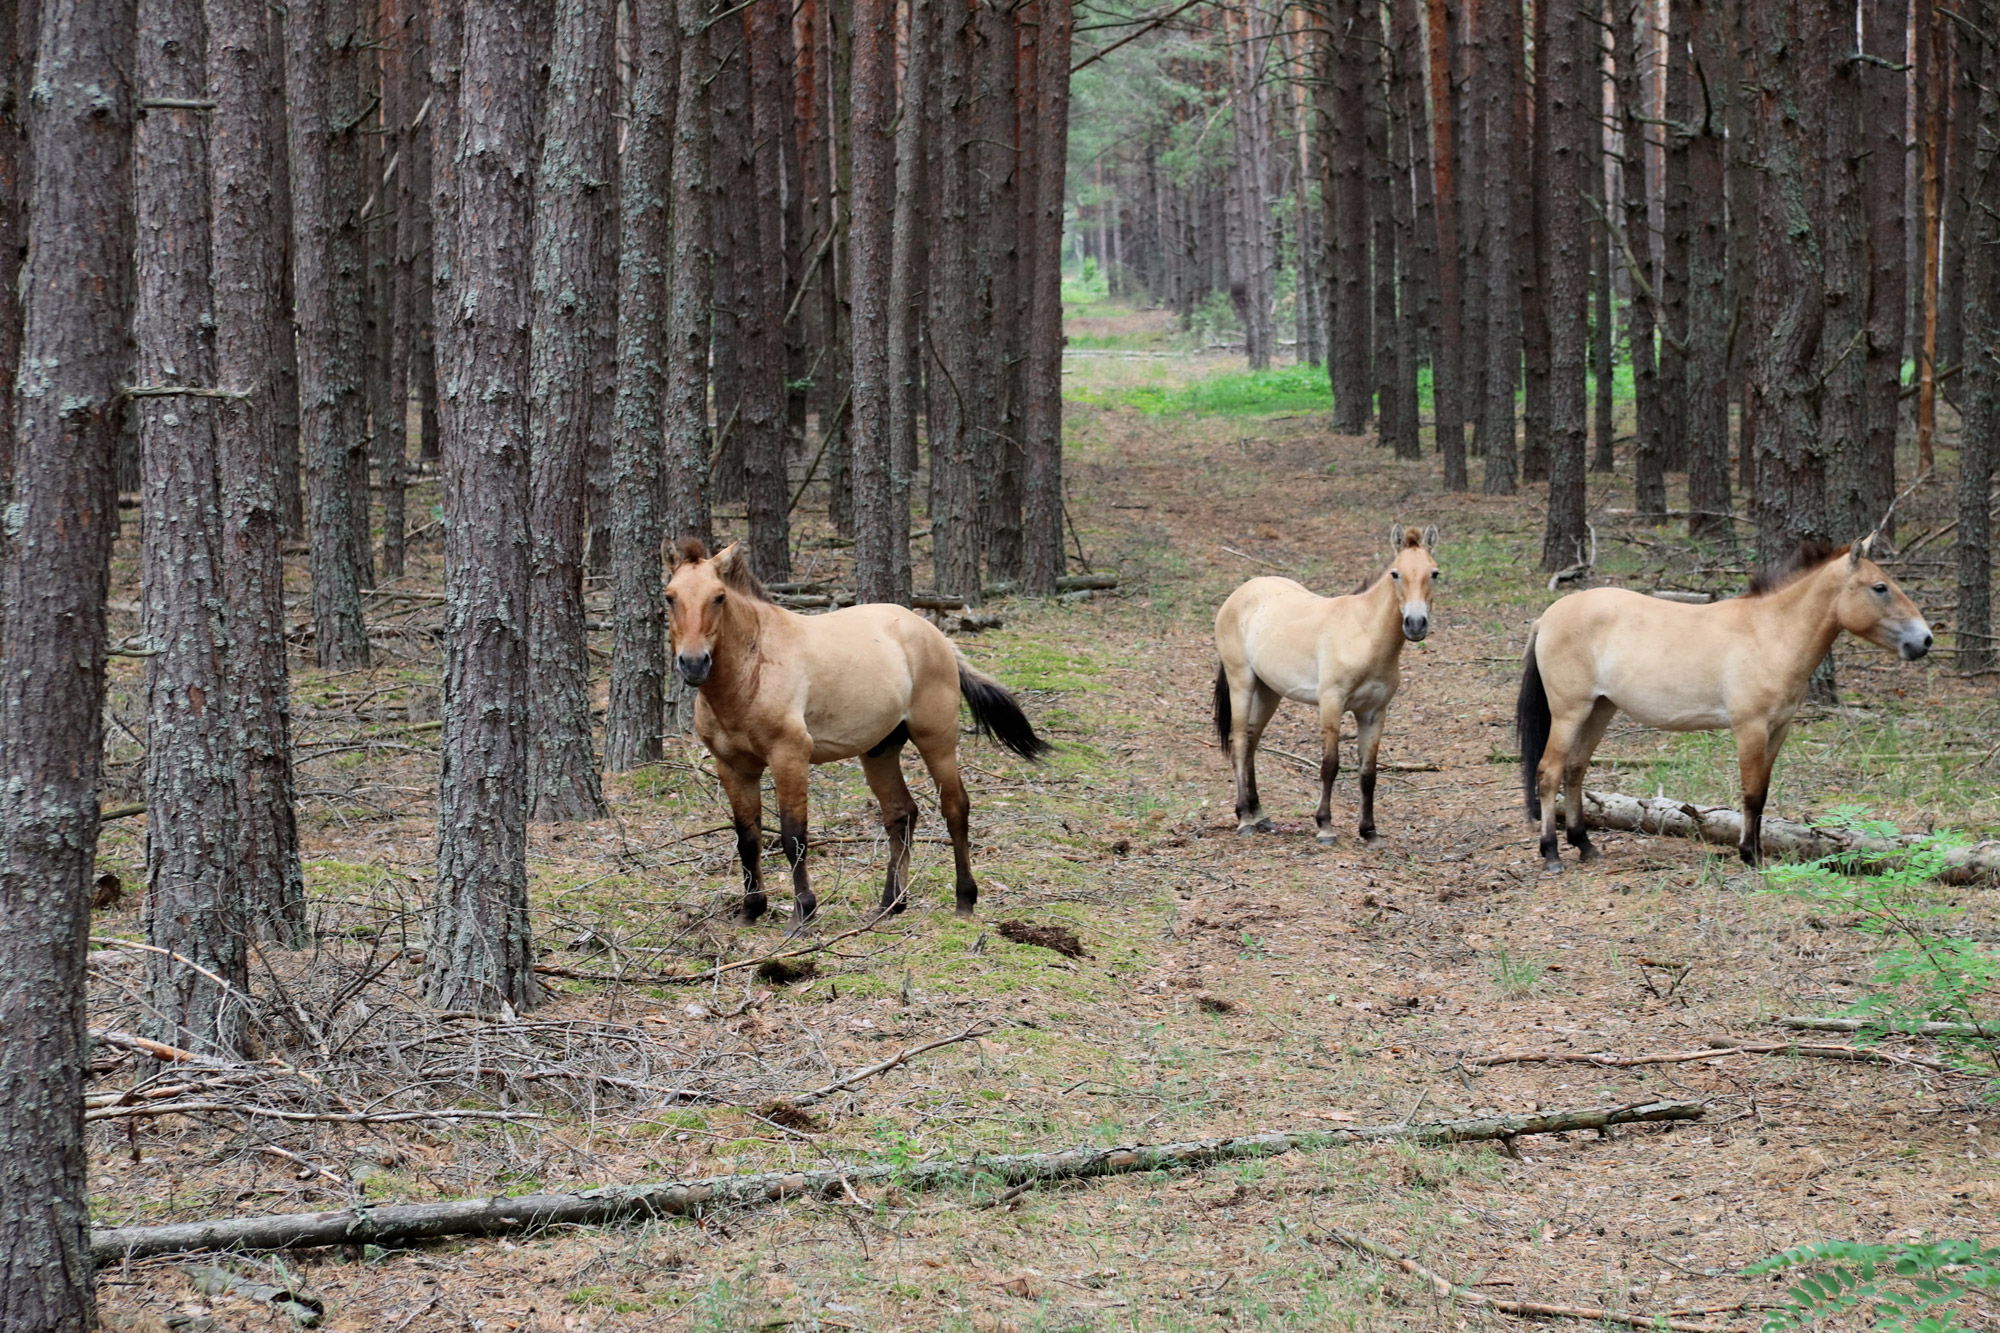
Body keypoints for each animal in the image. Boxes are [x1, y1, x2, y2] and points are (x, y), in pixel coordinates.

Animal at [1200, 520, 1440, 840]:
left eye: (1434, 573)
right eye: (1395, 573)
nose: (1415, 624)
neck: (1364, 635)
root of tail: (1238, 595)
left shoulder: (1374, 713)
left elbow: (1368, 773)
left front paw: (1369, 831)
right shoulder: (1331, 703)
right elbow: (1330, 765)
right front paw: (1325, 826)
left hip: (1269, 692)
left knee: (1251, 742)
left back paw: (1259, 814)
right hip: (1242, 682)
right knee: (1239, 742)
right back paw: (1244, 820)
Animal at [1520, 536, 1928, 868]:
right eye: (1880, 588)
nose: (1925, 640)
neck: (1770, 634)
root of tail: (1546, 617)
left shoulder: (1778, 730)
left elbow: (1762, 794)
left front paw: (1756, 851)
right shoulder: (1750, 729)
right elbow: (1750, 794)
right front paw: (1749, 855)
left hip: (1600, 709)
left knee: (1575, 770)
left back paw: (1584, 845)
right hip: (1570, 712)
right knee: (1549, 772)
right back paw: (1552, 854)